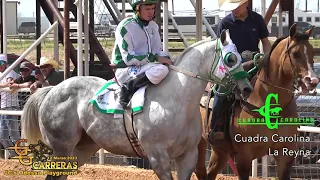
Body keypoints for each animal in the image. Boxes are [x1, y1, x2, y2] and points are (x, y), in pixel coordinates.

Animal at [21, 29, 252, 180]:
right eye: (231, 59)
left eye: (240, 57)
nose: (247, 89)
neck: (177, 101)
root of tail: (52, 90)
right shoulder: (158, 157)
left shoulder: (188, 156)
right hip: (62, 146)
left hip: (83, 147)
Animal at [195, 24, 320, 180]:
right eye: (296, 53)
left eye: (312, 52)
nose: (313, 81)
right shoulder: (244, 157)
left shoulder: (285, 154)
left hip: (220, 150)